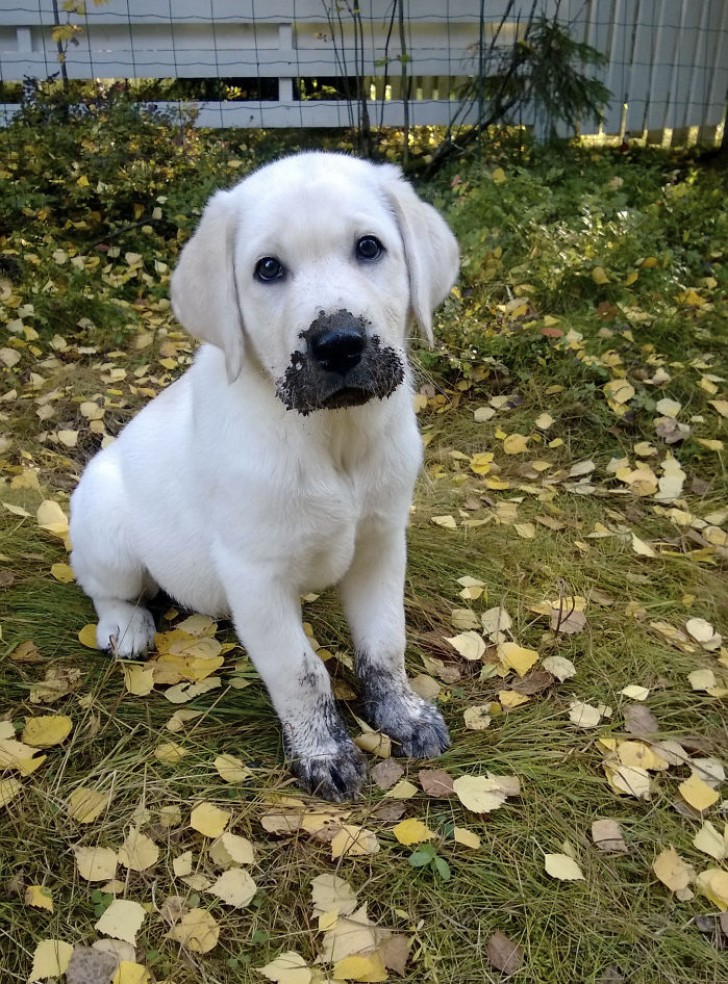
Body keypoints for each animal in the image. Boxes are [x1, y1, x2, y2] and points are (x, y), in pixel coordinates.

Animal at [71, 152, 458, 800]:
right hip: (104, 524)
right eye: (268, 269)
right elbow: (300, 672)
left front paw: (401, 713)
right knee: (106, 588)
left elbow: (385, 643)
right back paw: (126, 625)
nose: (339, 344)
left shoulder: (381, 544)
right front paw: (325, 752)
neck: (332, 438)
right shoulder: (256, 574)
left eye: (370, 247)